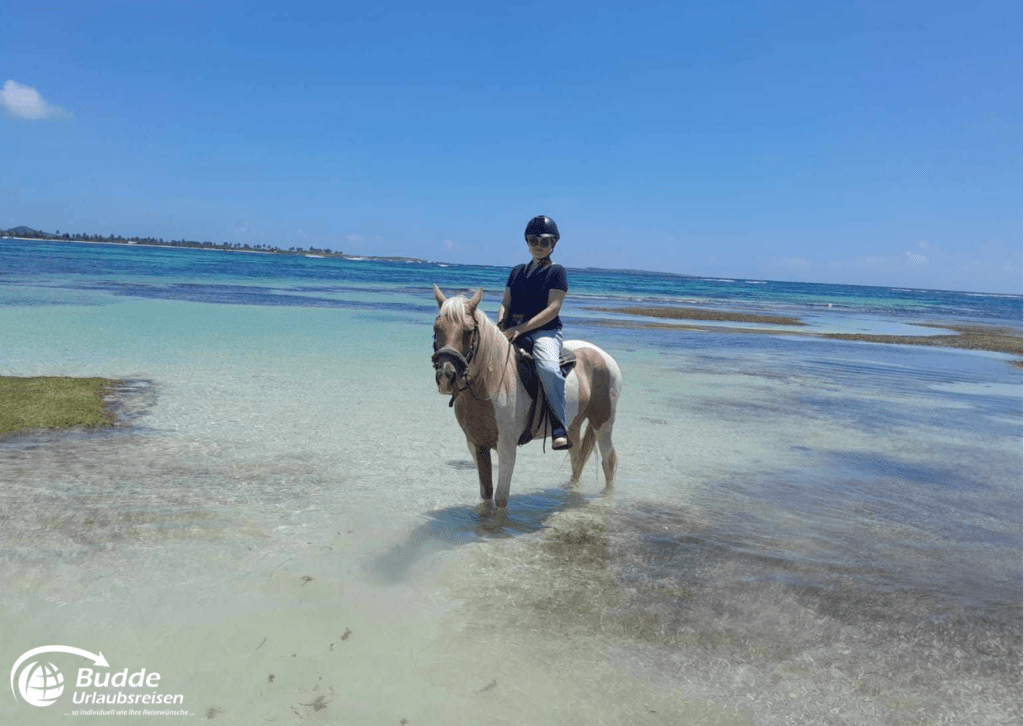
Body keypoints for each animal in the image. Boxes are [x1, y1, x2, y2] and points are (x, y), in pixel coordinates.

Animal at [428, 280, 618, 507]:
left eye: (468, 331)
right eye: (437, 328)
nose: (446, 376)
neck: (491, 384)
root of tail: (603, 355)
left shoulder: (507, 447)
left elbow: (501, 498)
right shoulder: (476, 445)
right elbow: (486, 493)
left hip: (603, 423)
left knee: (608, 462)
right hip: (573, 424)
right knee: (576, 458)